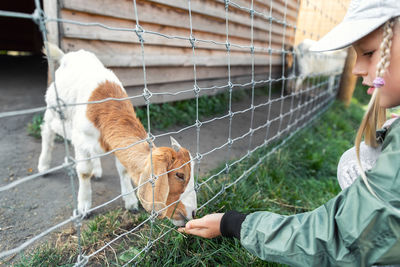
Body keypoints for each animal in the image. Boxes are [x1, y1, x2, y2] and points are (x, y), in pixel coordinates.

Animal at [39, 43, 197, 227]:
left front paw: (130, 201)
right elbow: (84, 171)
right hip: (55, 111)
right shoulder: (80, 139)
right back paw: (44, 166)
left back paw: (97, 170)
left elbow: (123, 170)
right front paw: (84, 206)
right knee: (47, 130)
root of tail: (67, 56)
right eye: (180, 175)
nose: (193, 212)